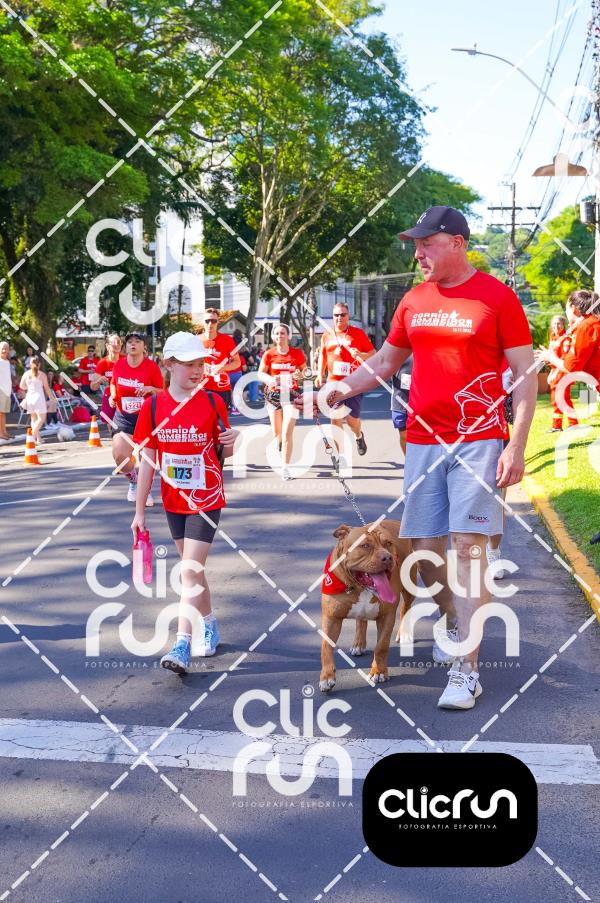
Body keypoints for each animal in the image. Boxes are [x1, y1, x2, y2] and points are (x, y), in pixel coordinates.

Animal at [319, 519, 415, 692]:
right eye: (365, 545)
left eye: (388, 543)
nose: (387, 557)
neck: (360, 587)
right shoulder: (331, 617)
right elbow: (326, 647)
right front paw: (327, 677)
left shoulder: (386, 616)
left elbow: (381, 646)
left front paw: (379, 671)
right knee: (361, 620)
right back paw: (358, 644)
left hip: (409, 586)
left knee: (405, 608)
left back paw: (403, 633)